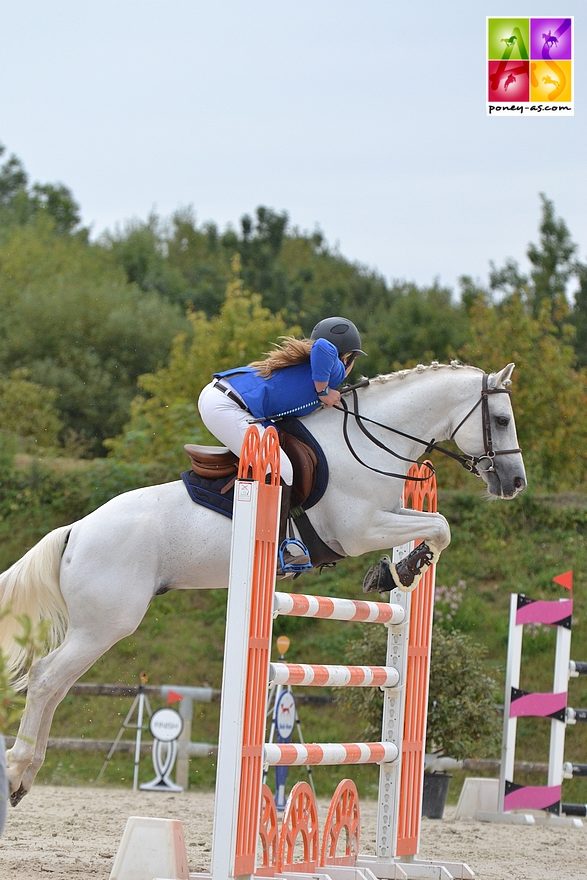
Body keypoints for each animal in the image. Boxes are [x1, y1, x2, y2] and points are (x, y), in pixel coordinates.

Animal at [0, 360, 524, 804]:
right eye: (500, 420)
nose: (515, 483)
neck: (367, 443)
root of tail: (76, 530)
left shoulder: (390, 513)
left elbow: (434, 523)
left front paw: (397, 570)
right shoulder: (360, 529)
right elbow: (441, 526)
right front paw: (400, 570)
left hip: (97, 627)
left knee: (56, 685)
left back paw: (27, 774)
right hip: (106, 625)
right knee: (46, 680)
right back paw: (18, 773)